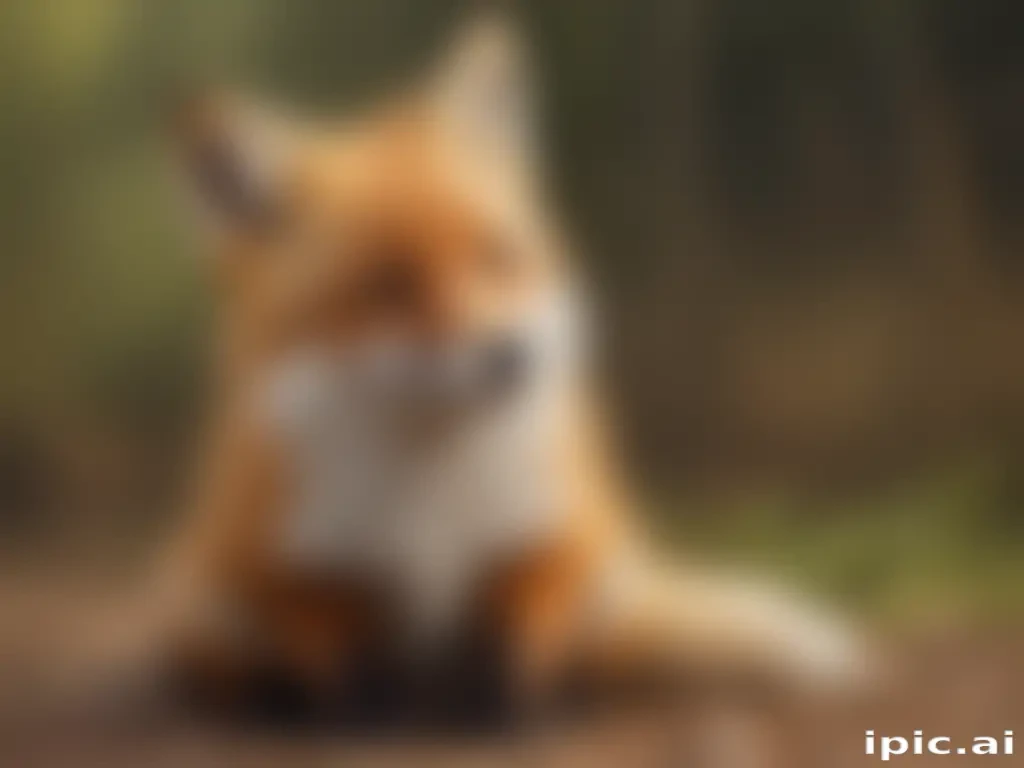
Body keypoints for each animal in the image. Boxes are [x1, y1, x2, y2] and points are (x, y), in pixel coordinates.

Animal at [153, 14, 869, 722]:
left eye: (496, 254)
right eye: (388, 287)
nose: (509, 354)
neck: (430, 504)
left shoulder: (569, 531)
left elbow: (523, 615)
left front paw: (506, 699)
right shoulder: (263, 561)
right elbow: (322, 628)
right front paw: (354, 698)